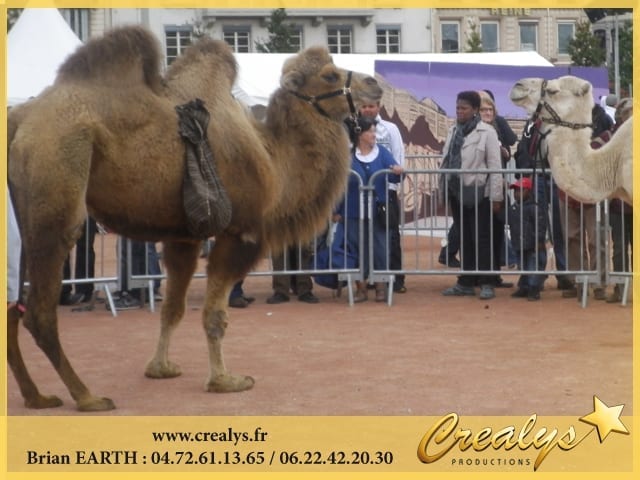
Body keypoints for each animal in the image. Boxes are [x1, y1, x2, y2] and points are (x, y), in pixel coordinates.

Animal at [7, 25, 382, 412]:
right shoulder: (240, 234)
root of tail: (18, 119)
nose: (375, 83)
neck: (273, 160)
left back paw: (36, 395)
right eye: (330, 75)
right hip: (58, 181)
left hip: (23, 214)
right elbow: (215, 316)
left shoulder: (184, 238)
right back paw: (87, 396)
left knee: (13, 306)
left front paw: (161, 368)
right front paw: (225, 380)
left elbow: (173, 308)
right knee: (39, 309)